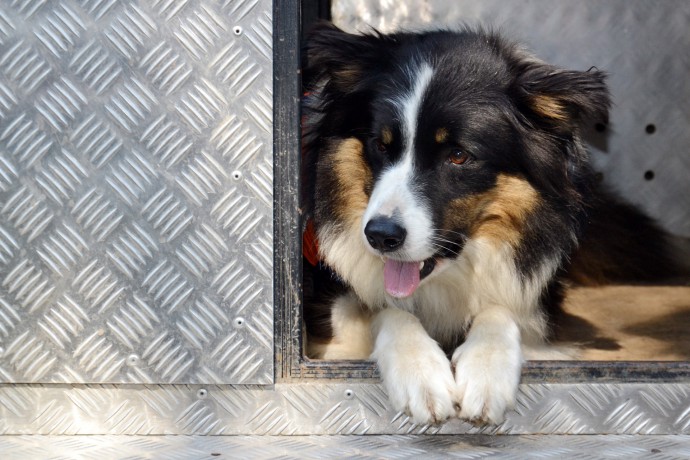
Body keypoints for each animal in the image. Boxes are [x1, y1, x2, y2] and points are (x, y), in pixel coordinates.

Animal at [298, 23, 680, 426]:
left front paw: (485, 375)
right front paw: (420, 374)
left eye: (459, 156)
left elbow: (502, 307)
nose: (380, 236)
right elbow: (385, 307)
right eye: (381, 145)